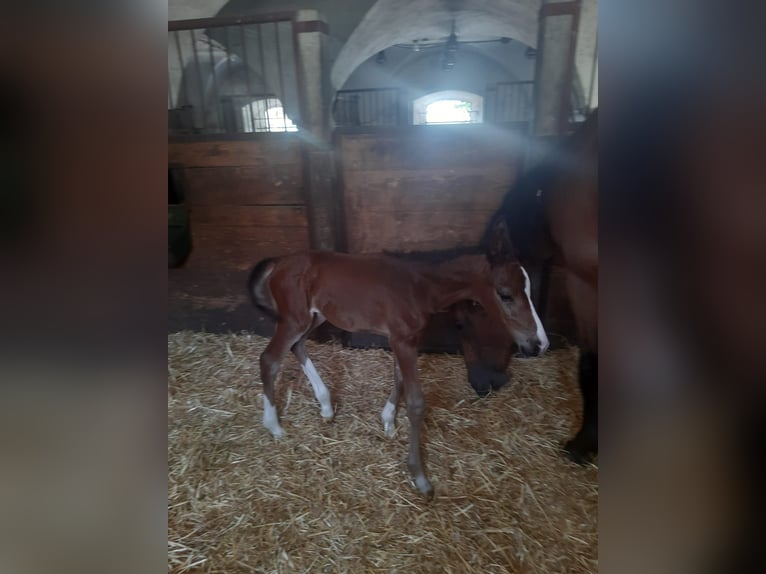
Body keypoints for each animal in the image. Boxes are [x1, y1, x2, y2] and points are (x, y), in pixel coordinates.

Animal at [249, 223, 548, 502]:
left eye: (529, 289)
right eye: (505, 294)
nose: (539, 344)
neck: (419, 286)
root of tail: (279, 262)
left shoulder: (404, 340)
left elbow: (399, 379)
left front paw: (388, 422)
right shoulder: (402, 341)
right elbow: (415, 402)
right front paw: (419, 476)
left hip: (315, 316)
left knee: (297, 346)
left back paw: (326, 406)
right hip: (294, 319)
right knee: (270, 359)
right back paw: (274, 426)